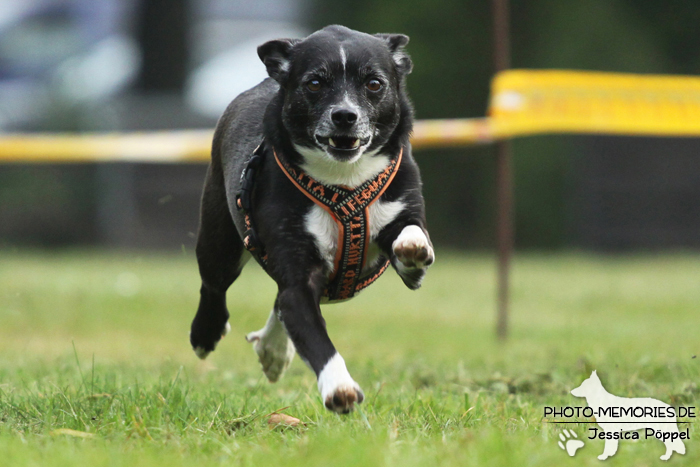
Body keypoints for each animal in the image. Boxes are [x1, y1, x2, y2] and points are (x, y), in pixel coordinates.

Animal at [189, 25, 434, 414]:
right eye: (315, 83)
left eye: (374, 83)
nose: (345, 115)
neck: (344, 181)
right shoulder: (298, 271)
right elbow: (310, 328)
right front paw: (339, 387)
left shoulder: (401, 204)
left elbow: (409, 236)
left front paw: (412, 246)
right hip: (220, 238)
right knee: (214, 284)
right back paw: (206, 334)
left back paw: (273, 350)